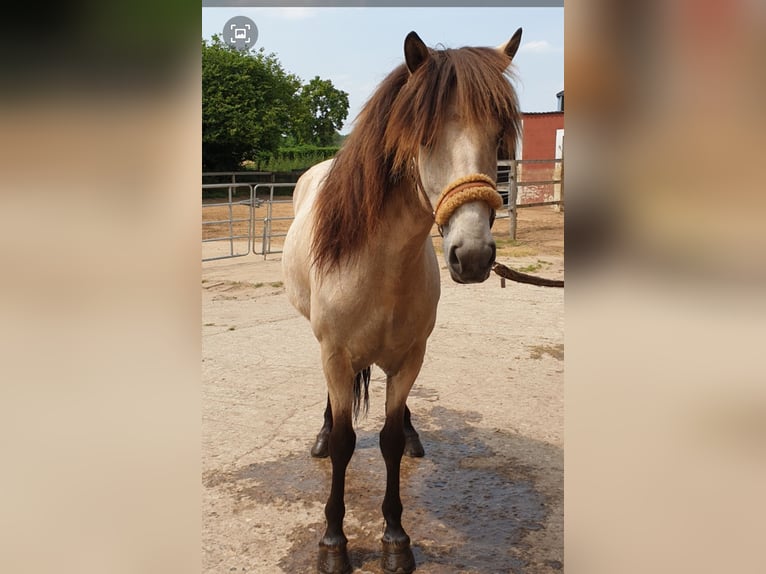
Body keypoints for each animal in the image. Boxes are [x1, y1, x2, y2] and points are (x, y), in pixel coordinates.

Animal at [284, 28, 528, 574]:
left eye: (499, 135)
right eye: (425, 136)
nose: (472, 255)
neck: (378, 266)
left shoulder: (411, 357)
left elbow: (390, 441)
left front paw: (396, 538)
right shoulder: (335, 355)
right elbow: (346, 443)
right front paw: (334, 542)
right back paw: (322, 434)